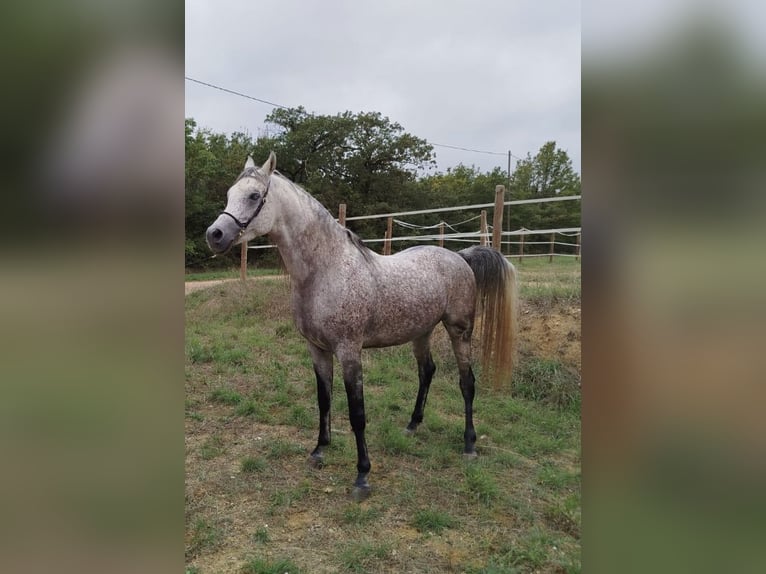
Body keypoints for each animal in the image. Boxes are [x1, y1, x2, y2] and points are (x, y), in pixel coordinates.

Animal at [204, 155, 520, 502]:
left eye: (253, 196)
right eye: (230, 194)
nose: (214, 234)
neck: (325, 271)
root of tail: (459, 256)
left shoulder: (349, 351)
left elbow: (357, 413)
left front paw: (362, 476)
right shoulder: (317, 349)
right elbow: (324, 400)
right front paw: (319, 452)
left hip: (459, 331)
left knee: (467, 383)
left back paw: (469, 445)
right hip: (421, 332)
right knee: (427, 372)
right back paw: (412, 425)